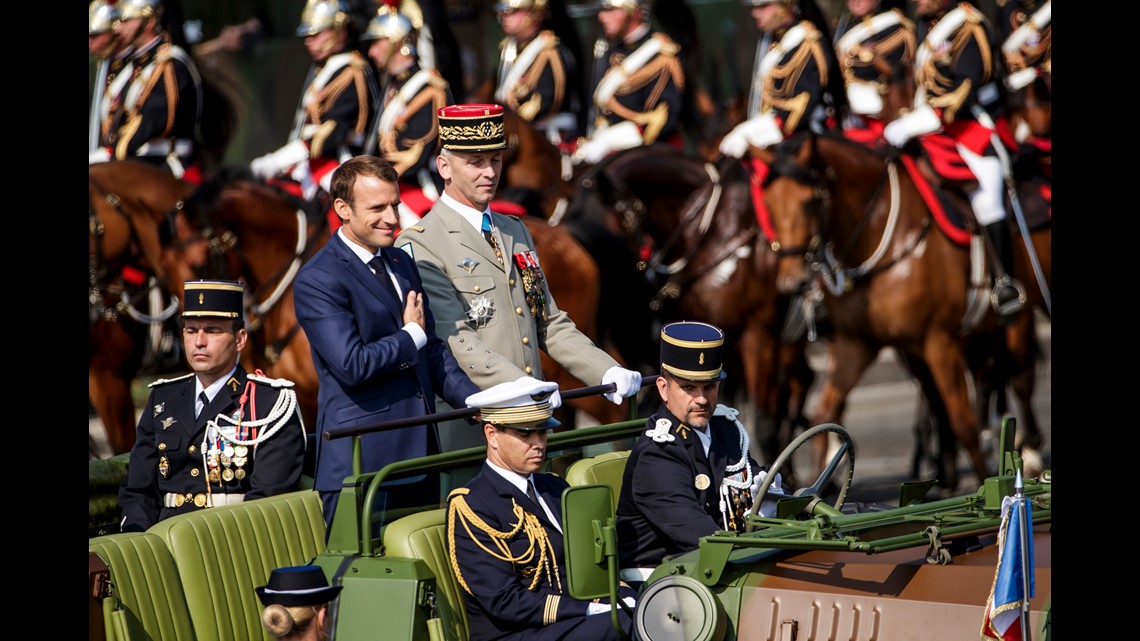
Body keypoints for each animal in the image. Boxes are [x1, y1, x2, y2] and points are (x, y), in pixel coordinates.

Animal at [756, 131, 1048, 488]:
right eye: (769, 204)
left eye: (810, 201)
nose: (791, 283)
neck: (883, 234)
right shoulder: (858, 343)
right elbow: (823, 413)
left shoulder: (939, 340)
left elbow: (961, 421)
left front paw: (984, 486)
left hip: (1017, 319)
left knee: (1019, 378)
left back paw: (1027, 453)